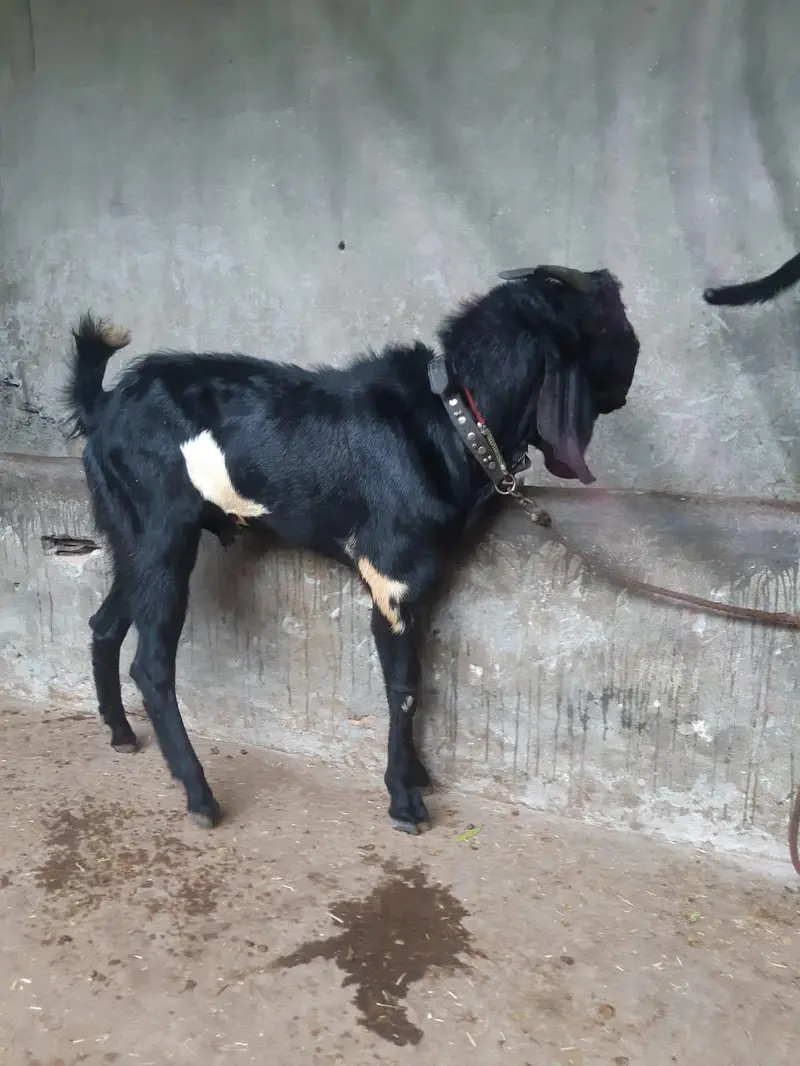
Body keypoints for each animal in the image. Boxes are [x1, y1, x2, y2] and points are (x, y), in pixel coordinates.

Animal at [63, 265, 640, 834]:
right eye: (612, 316)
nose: (628, 384)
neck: (452, 417)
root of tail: (103, 406)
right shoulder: (392, 579)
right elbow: (403, 688)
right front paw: (404, 799)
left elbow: (416, 682)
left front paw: (417, 774)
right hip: (161, 535)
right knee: (151, 665)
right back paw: (200, 795)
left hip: (132, 537)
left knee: (104, 624)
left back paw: (120, 733)